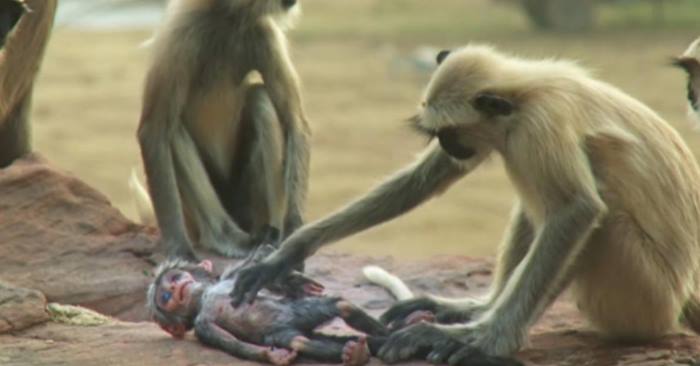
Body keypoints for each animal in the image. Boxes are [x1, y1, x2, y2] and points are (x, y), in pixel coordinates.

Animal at [137, 0, 312, 260]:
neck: (227, 18)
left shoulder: (264, 33)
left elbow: (296, 123)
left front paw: (294, 233)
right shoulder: (180, 32)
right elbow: (154, 130)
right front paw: (179, 250)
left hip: (249, 203)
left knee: (260, 98)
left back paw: (270, 235)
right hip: (194, 216)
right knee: (173, 130)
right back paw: (224, 236)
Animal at [232, 43, 700, 364]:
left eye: (449, 133)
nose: (446, 145)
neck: (524, 91)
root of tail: (680, 301)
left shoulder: (536, 127)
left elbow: (576, 211)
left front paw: (487, 341)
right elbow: (425, 180)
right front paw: (288, 252)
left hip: (645, 299)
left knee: (594, 215)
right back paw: (472, 309)